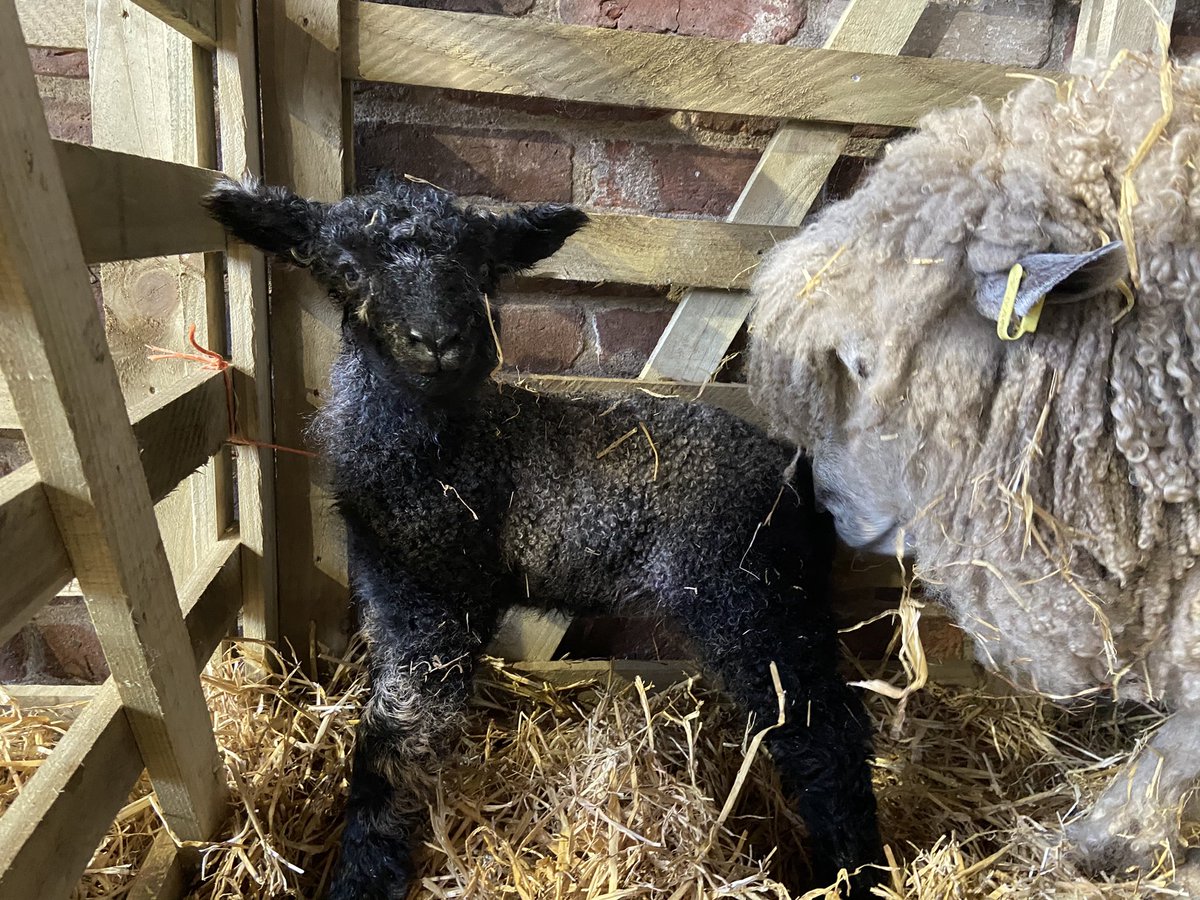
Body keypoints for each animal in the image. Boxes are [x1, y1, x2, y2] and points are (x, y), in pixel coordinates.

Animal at [204, 177, 883, 900]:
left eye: (481, 270)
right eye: (348, 268)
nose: (439, 340)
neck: (442, 447)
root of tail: (799, 474)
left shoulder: (438, 597)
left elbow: (397, 735)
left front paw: (364, 875)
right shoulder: (395, 591)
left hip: (752, 594)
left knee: (824, 731)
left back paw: (853, 869)